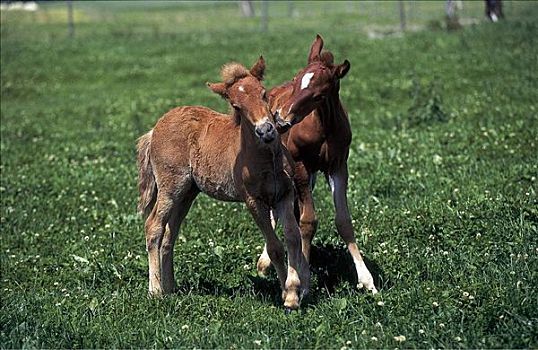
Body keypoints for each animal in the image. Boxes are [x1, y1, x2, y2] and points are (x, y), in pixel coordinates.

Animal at [136, 58, 308, 312]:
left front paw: (294, 293)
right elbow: (275, 247)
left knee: (169, 234)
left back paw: (171, 287)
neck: (267, 159)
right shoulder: (253, 201)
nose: (266, 130)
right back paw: (156, 291)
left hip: (187, 194)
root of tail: (155, 129)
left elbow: (293, 237)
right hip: (170, 188)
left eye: (264, 94)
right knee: (154, 227)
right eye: (236, 106)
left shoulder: (284, 195)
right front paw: (286, 294)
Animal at [256, 34, 376, 292]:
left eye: (319, 94)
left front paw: (366, 279)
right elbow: (308, 221)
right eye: (296, 79)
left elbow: (343, 221)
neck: (325, 127)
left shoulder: (338, 167)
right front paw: (303, 279)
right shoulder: (301, 165)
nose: (281, 118)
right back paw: (265, 261)